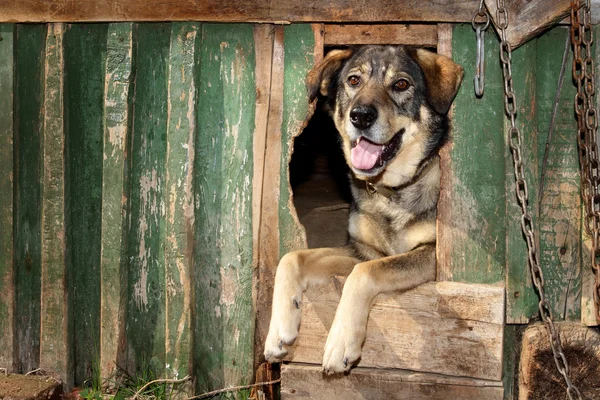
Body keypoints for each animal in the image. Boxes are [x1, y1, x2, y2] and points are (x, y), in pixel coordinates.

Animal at [262, 46, 464, 376]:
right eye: (353, 80)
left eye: (401, 84)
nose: (360, 116)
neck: (390, 192)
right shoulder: (362, 250)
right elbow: (292, 258)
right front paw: (279, 331)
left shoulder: (430, 254)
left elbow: (362, 274)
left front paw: (340, 343)